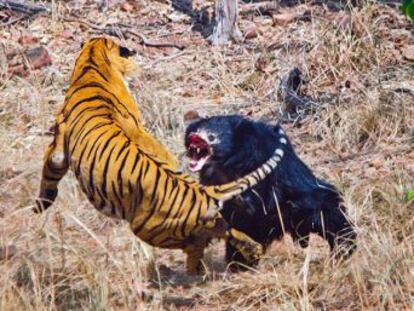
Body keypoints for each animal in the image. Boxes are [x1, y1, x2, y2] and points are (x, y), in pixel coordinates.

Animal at [35, 37, 284, 276]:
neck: (94, 62)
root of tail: (203, 192)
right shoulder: (139, 128)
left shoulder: (58, 145)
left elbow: (50, 169)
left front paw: (41, 205)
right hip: (204, 222)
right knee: (227, 230)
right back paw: (250, 252)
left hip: (148, 228)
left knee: (196, 244)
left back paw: (192, 272)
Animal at [184, 116, 356, 270]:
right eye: (194, 132)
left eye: (212, 137)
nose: (194, 137)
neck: (227, 161)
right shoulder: (213, 180)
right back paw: (240, 264)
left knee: (327, 214)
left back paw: (344, 249)